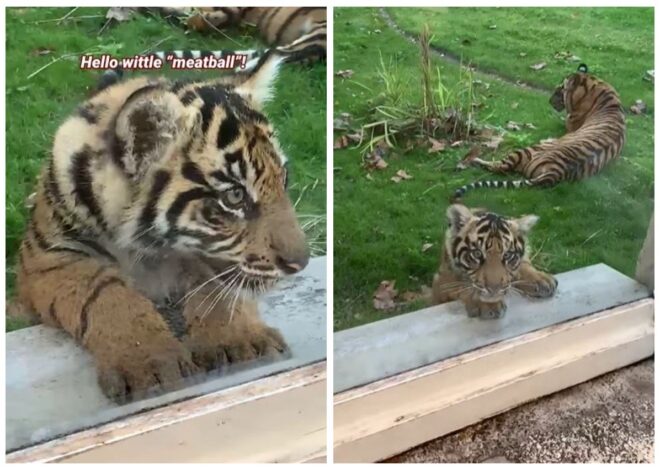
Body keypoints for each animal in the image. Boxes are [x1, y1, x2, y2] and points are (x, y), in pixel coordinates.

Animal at [14, 51, 310, 404]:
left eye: (284, 179)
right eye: (234, 195)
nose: (300, 263)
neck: (147, 251)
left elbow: (216, 286)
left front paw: (244, 341)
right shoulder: (50, 258)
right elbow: (105, 291)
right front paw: (152, 363)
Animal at [452, 63, 628, 200]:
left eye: (560, 89)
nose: (549, 101)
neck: (597, 88)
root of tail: (556, 172)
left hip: (526, 151)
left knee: (500, 167)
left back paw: (473, 159)